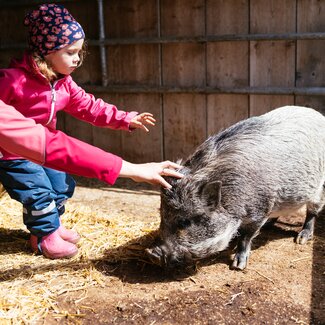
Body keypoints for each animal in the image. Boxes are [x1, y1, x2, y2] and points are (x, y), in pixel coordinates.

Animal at [146, 105, 324, 270]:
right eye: (161, 215)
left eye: (184, 222)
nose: (152, 253)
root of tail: (318, 114)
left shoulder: (258, 210)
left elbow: (245, 237)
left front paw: (237, 266)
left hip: (319, 188)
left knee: (312, 212)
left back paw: (301, 239)